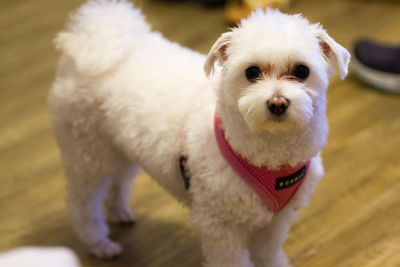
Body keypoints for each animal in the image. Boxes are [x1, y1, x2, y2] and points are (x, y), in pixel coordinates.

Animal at [50, 1, 350, 266]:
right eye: (252, 72)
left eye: (301, 70)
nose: (277, 103)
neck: (270, 158)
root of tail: (98, 32)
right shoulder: (220, 227)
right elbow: (232, 262)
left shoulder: (275, 222)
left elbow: (269, 256)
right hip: (88, 153)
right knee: (83, 203)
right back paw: (98, 243)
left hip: (119, 145)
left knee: (119, 179)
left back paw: (119, 212)